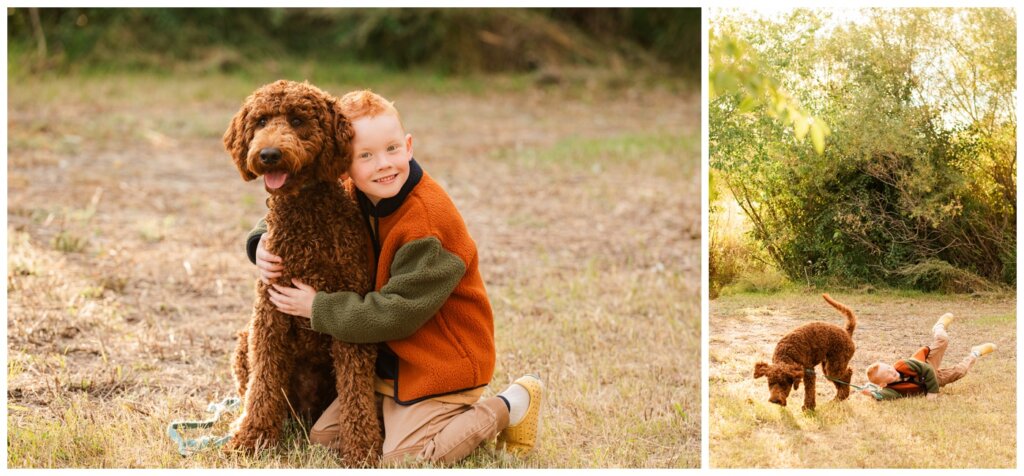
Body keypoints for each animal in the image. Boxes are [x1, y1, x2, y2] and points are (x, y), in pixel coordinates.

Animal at [222, 79, 382, 462]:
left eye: (297, 120)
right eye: (261, 121)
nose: (268, 155)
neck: (306, 215)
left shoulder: (350, 318)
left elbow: (356, 391)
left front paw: (362, 449)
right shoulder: (269, 314)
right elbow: (263, 382)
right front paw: (252, 438)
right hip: (245, 340)